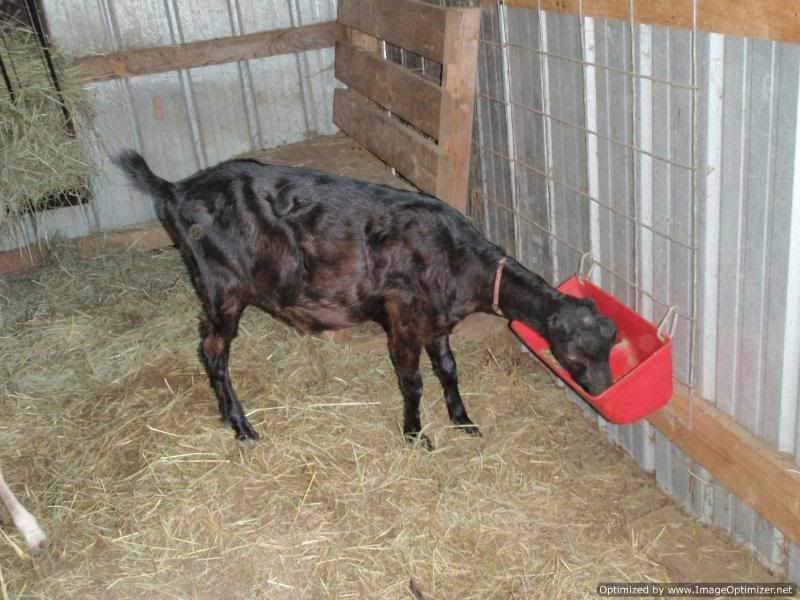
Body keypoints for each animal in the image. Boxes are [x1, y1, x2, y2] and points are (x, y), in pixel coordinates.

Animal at [114, 151, 616, 448]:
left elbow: (449, 369)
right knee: (213, 351)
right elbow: (412, 382)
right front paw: (416, 436)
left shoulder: (436, 320)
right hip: (224, 288)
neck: (458, 258)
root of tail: (177, 189)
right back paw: (242, 427)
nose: (602, 390)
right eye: (575, 352)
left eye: (612, 346)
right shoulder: (403, 317)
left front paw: (463, 421)